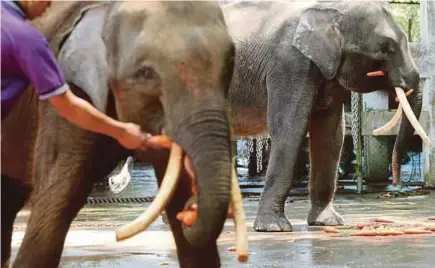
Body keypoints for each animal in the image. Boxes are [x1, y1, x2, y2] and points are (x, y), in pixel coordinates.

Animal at [0, 1, 238, 266]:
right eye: (146, 73)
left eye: (231, 62)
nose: (192, 210)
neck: (106, 9)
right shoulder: (64, 92)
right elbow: (58, 201)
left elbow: (177, 193)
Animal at [221, 0, 432, 232]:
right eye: (385, 48)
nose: (396, 181)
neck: (329, 9)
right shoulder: (290, 65)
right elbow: (289, 128)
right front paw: (274, 227)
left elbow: (330, 135)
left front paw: (328, 222)